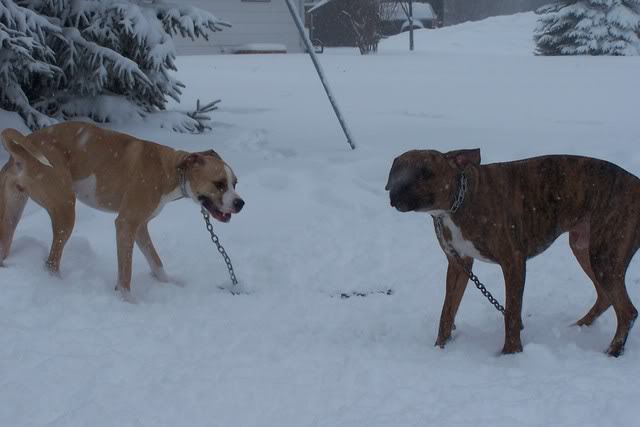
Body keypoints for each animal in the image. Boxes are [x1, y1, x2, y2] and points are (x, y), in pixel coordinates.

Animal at [0, 120, 245, 300]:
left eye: (235, 183)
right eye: (219, 184)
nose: (240, 203)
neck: (170, 169)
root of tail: (21, 152)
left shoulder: (140, 227)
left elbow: (156, 263)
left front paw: (170, 284)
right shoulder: (126, 224)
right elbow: (125, 273)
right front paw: (129, 302)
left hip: (12, 213)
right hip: (65, 210)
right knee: (52, 262)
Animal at [384, 149, 640, 356]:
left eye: (425, 173)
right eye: (397, 171)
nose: (395, 193)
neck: (457, 203)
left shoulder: (513, 262)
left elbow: (512, 313)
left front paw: (511, 353)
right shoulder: (458, 264)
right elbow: (448, 310)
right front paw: (440, 348)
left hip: (604, 254)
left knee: (627, 311)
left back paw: (613, 351)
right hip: (583, 247)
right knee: (606, 297)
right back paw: (579, 327)